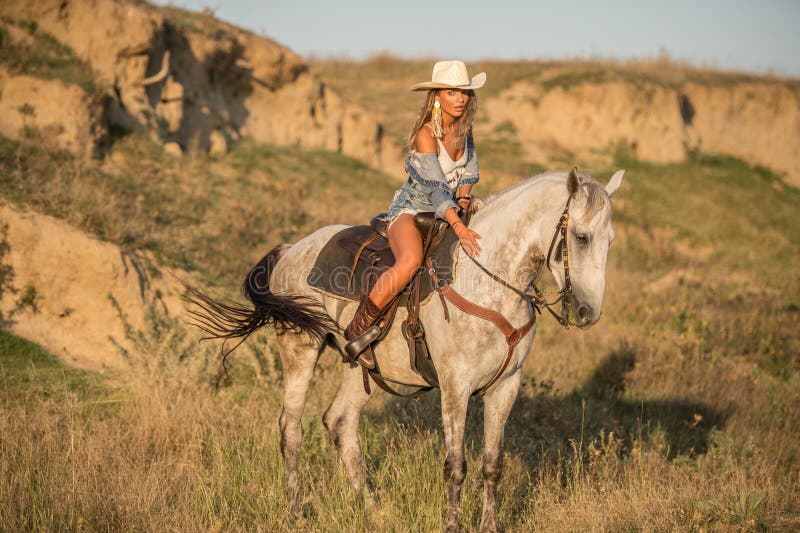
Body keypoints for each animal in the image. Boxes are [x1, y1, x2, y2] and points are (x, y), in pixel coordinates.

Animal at [186, 165, 624, 528]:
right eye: (580, 237)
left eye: (609, 240)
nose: (588, 312)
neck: (489, 280)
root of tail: (291, 249)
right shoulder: (455, 387)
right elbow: (456, 466)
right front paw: (452, 526)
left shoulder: (505, 387)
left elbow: (492, 465)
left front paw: (490, 526)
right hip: (300, 348)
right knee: (290, 428)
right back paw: (296, 514)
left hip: (359, 366)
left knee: (340, 422)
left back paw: (374, 511)